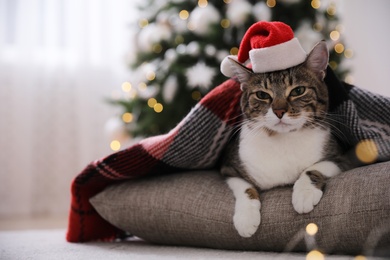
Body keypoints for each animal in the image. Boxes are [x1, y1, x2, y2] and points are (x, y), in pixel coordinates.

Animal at [221, 40, 352, 238]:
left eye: (298, 90)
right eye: (262, 95)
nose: (279, 111)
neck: (283, 139)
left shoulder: (343, 158)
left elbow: (314, 168)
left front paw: (304, 194)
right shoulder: (229, 167)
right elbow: (243, 187)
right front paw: (246, 218)